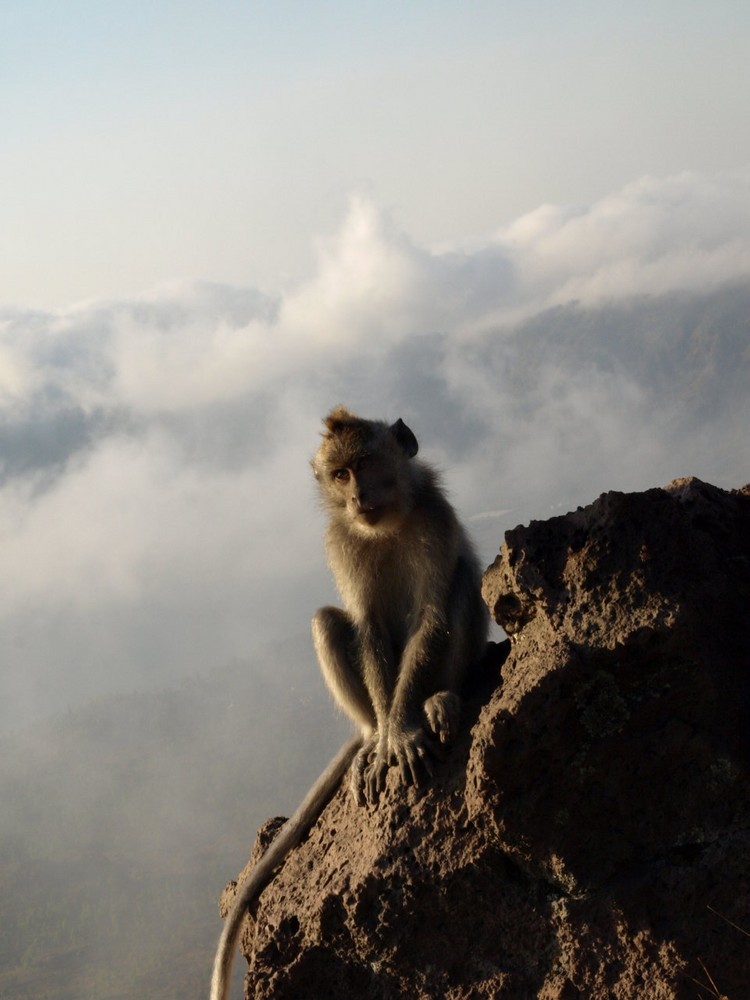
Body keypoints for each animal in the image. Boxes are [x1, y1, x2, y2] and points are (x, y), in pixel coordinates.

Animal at [209, 406, 488, 1000]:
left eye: (363, 463)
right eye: (339, 475)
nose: (357, 497)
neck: (387, 525)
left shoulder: (435, 517)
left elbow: (432, 613)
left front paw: (404, 729)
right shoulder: (341, 541)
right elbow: (368, 628)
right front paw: (390, 736)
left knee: (458, 583)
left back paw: (440, 700)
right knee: (329, 621)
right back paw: (371, 738)